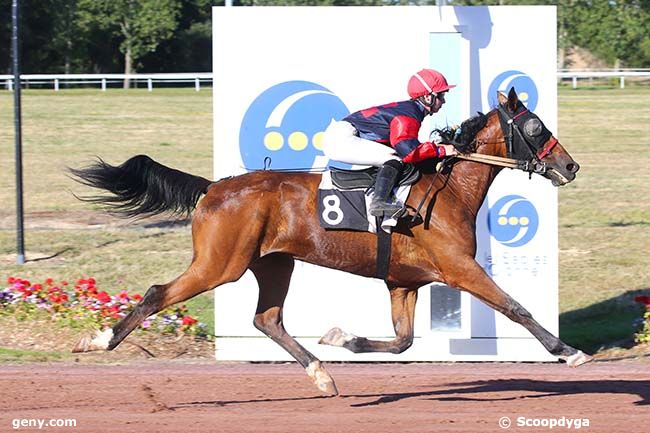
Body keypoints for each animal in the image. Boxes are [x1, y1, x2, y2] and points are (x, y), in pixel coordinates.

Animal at [69, 88, 588, 394]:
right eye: (536, 127)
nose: (570, 166)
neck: (448, 189)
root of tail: (213, 187)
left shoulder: (404, 282)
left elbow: (402, 341)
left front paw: (343, 337)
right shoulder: (459, 268)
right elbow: (515, 308)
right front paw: (568, 352)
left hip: (274, 262)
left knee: (268, 319)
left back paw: (321, 373)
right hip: (220, 264)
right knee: (159, 293)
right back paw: (99, 340)